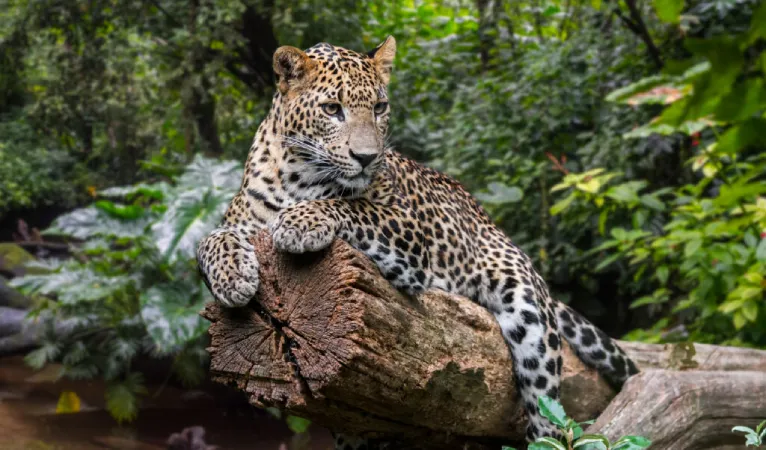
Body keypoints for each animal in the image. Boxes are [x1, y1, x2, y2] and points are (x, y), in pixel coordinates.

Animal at [196, 36, 639, 449]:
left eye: (379, 107)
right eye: (332, 109)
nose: (366, 157)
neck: (298, 176)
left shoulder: (406, 227)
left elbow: (352, 207)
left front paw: (301, 222)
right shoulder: (241, 219)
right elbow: (209, 240)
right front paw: (232, 277)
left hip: (527, 308)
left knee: (548, 415)